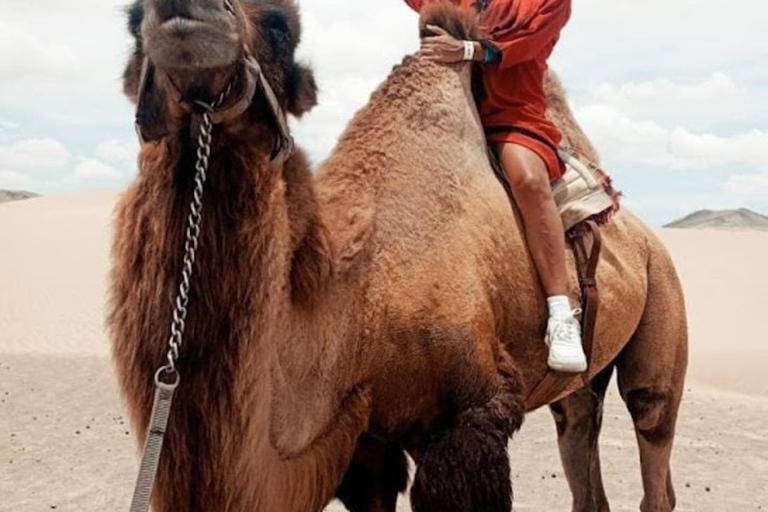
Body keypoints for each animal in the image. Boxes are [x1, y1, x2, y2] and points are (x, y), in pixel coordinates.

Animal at [108, 1, 688, 511]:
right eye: (133, 21)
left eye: (280, 27)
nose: (185, 15)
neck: (359, 295)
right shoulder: (365, 440)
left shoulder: (470, 415)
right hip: (584, 375)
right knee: (578, 426)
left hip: (663, 296)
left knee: (652, 426)